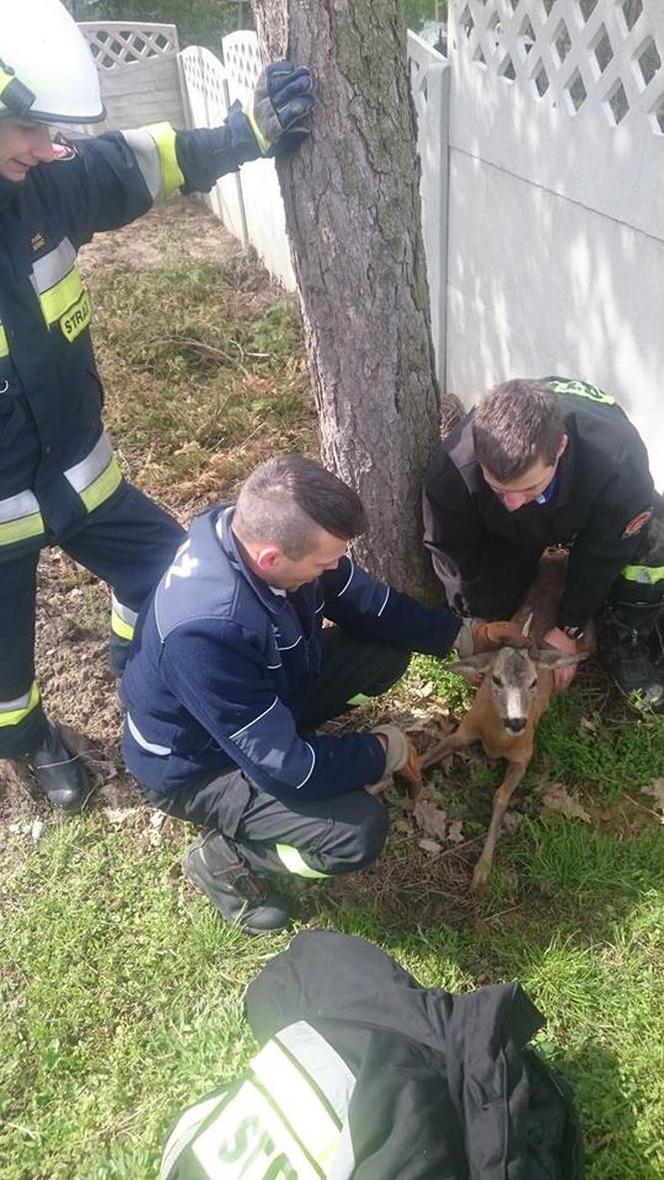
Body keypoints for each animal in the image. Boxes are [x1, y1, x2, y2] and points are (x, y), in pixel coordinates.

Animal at [424, 552, 589, 892]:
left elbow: (500, 797)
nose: (516, 723)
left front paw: (482, 870)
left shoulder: (525, 753)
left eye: (534, 682)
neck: (494, 739)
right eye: (495, 679)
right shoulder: (463, 730)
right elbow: (423, 757)